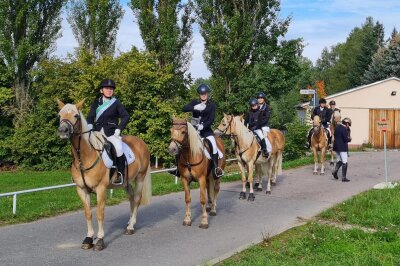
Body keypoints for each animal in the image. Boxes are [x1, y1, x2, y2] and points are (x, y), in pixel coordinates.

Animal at [55, 100, 151, 251]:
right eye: (59, 115)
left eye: (76, 115)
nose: (63, 131)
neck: (84, 157)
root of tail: (141, 142)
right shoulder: (81, 190)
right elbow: (88, 213)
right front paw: (88, 239)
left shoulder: (100, 189)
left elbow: (100, 214)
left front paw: (100, 240)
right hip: (126, 182)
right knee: (131, 198)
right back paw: (129, 222)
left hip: (140, 177)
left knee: (136, 199)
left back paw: (131, 226)